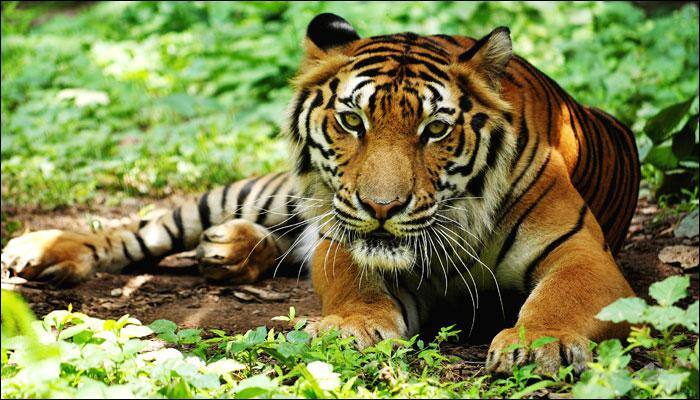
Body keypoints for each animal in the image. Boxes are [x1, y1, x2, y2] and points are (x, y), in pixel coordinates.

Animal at [1, 13, 640, 375]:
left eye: (435, 129)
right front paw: (350, 327)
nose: (383, 208)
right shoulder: (341, 233)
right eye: (353, 121)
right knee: (147, 225)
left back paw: (229, 250)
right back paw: (43, 250)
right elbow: (349, 279)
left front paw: (538, 345)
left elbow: (562, 298)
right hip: (266, 193)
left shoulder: (583, 254)